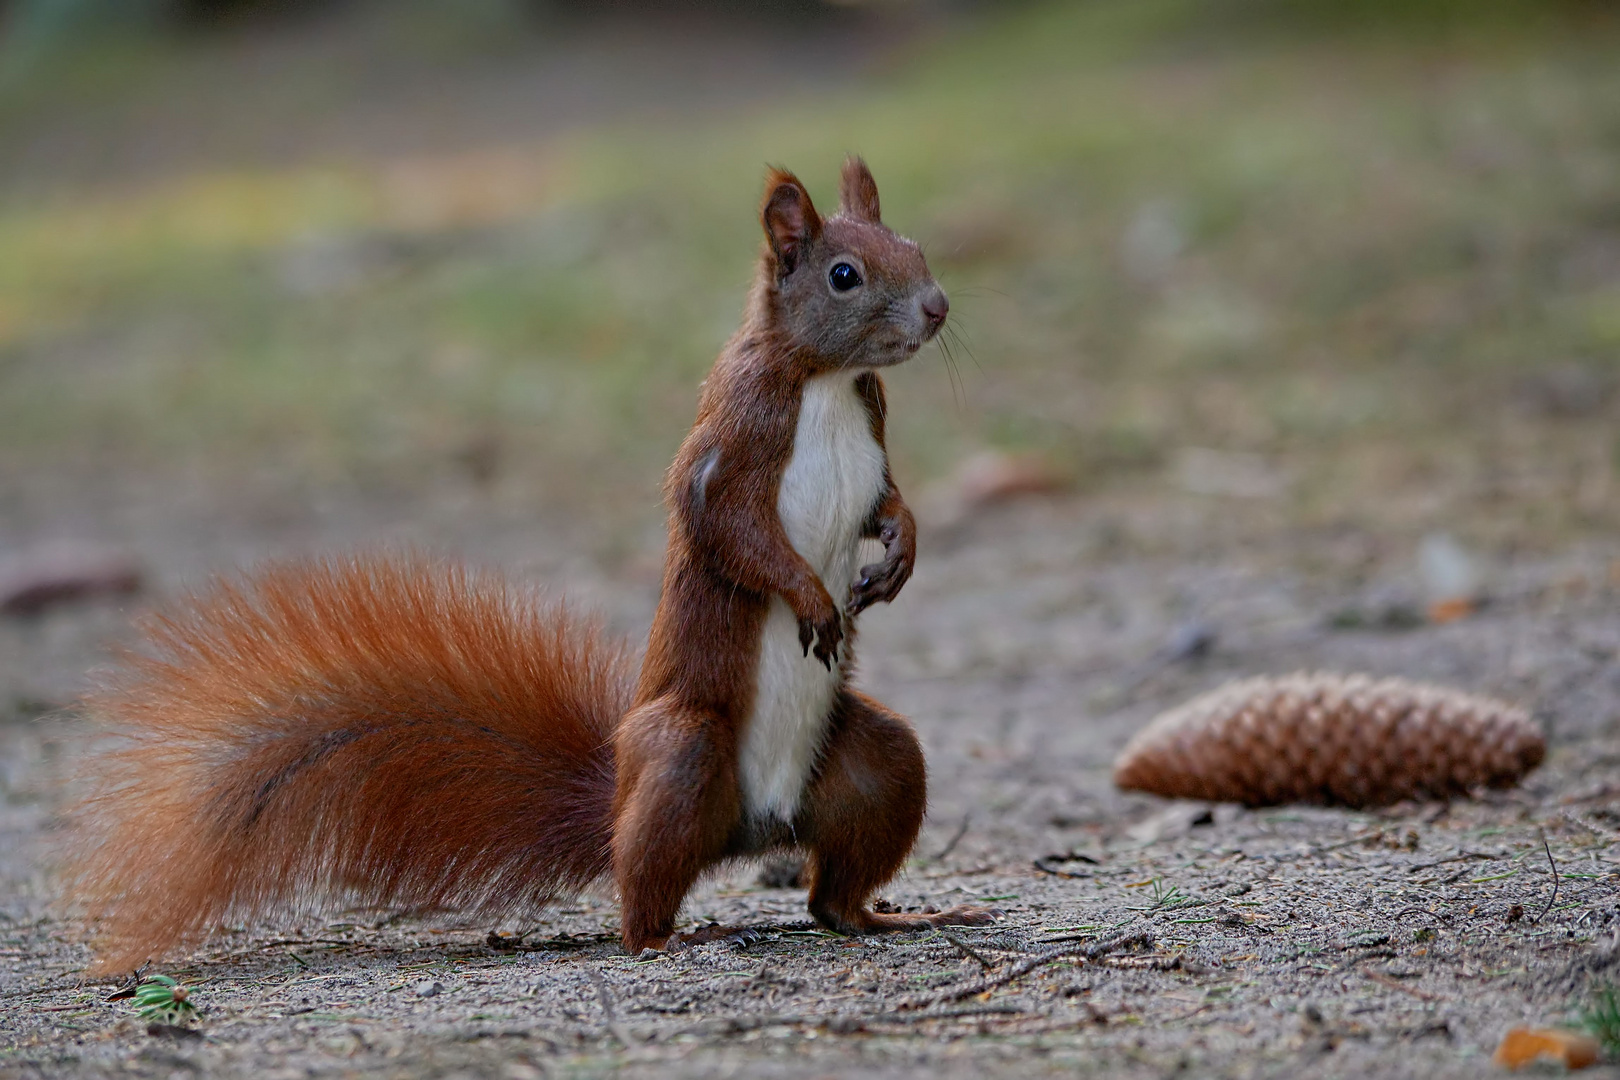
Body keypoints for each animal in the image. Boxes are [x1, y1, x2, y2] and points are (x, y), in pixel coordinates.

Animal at [69, 158, 991, 971]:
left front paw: (902, 551)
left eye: (912, 245)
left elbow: (886, 503)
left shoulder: (869, 435)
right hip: (684, 750)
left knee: (833, 893)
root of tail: (750, 826)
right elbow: (731, 533)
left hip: (872, 766)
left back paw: (897, 915)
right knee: (642, 895)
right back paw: (675, 937)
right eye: (844, 274)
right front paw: (809, 595)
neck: (827, 381)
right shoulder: (731, 445)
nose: (939, 306)